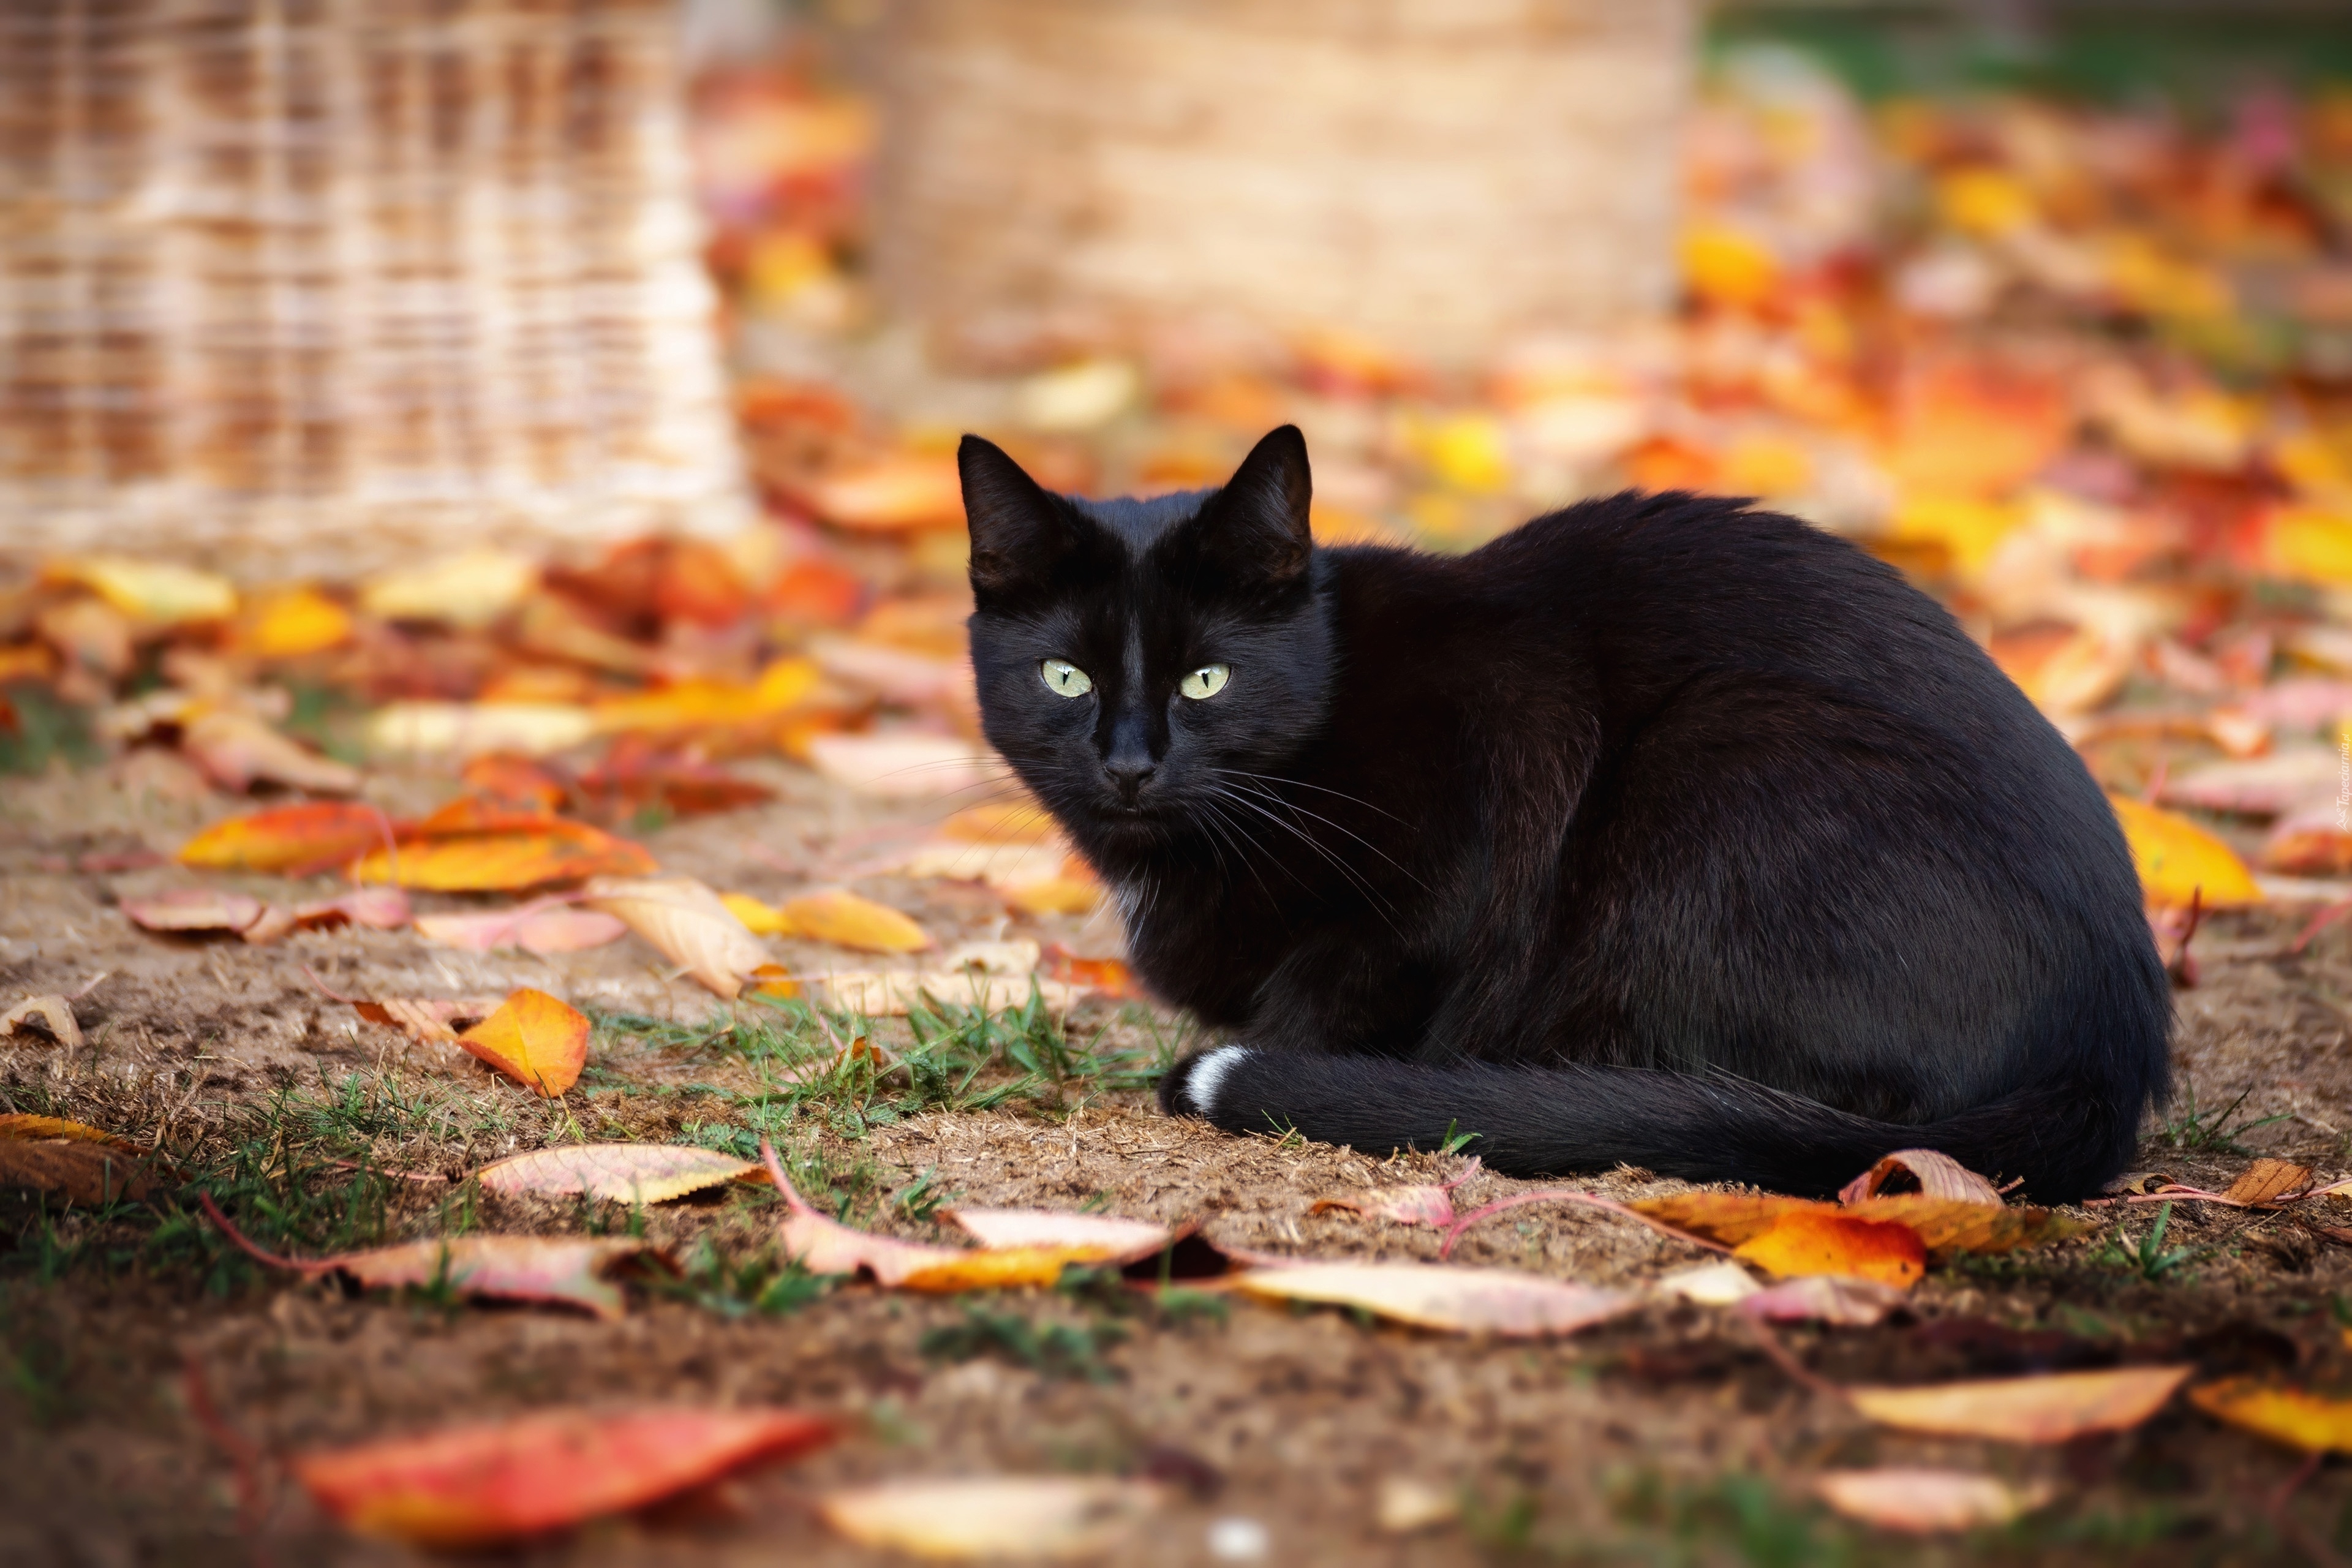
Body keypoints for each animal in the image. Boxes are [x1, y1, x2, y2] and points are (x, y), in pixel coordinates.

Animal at [955, 423, 2163, 1194]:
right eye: (1066, 677)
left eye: (1207, 679)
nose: (1128, 763)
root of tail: (2109, 1041)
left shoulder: (1476, 810)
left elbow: (1338, 994)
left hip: (1717, 749)